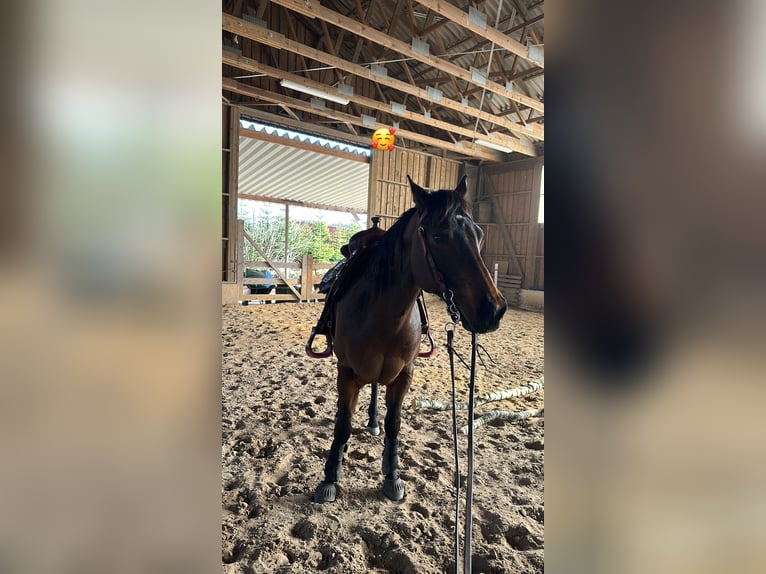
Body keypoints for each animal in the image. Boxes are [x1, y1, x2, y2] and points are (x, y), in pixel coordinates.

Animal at [313, 175, 507, 503]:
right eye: (439, 236)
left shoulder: (404, 374)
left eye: (479, 234)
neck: (381, 313)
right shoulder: (347, 372)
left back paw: (373, 422)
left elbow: (394, 424)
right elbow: (342, 424)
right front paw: (329, 477)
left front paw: (392, 476)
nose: (493, 310)